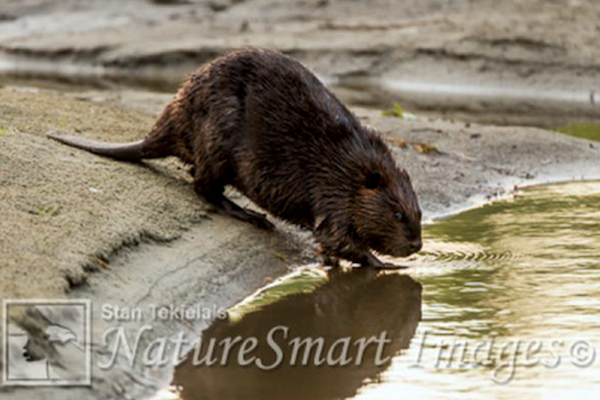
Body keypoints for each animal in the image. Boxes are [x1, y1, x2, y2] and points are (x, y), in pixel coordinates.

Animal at [48, 47, 422, 268]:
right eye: (399, 214)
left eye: (418, 212)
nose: (417, 245)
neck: (353, 164)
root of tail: (166, 124)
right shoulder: (332, 191)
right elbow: (335, 236)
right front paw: (387, 264)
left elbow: (330, 243)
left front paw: (332, 262)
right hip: (218, 137)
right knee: (204, 187)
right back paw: (252, 216)